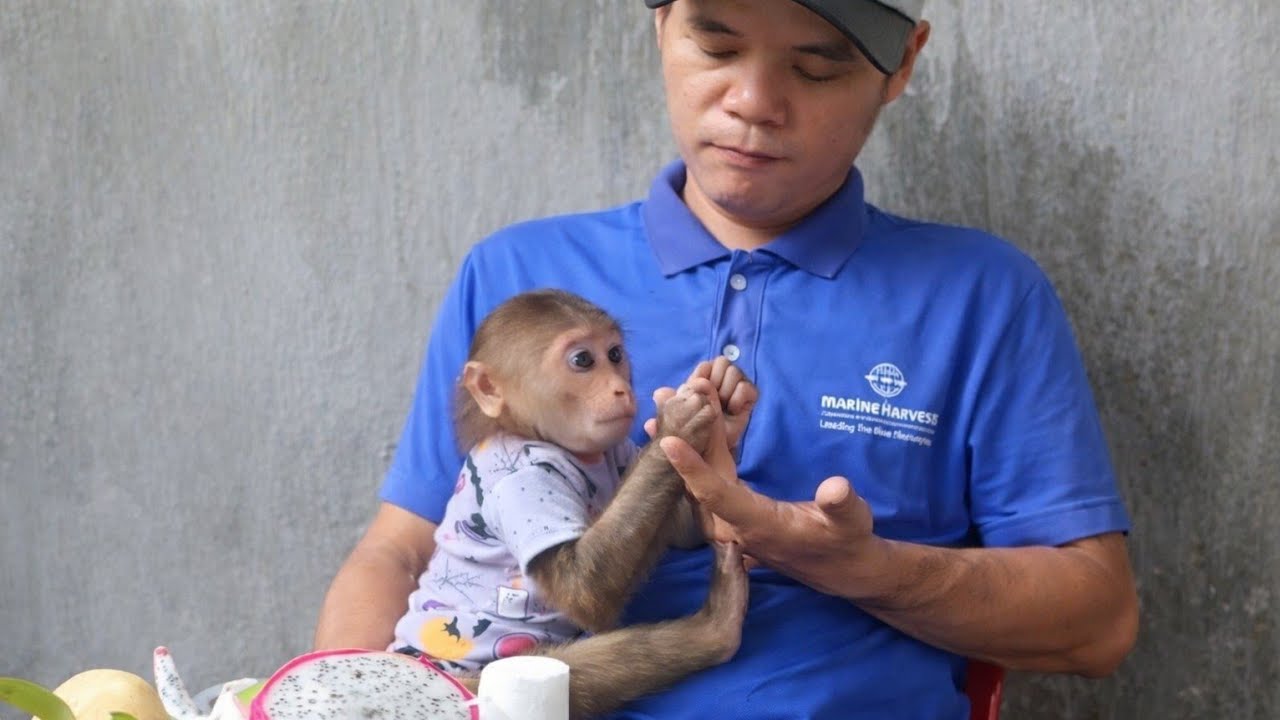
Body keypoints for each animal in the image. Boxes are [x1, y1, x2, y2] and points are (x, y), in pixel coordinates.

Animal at [391, 288, 756, 719]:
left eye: (614, 354)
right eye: (583, 361)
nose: (620, 389)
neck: (537, 436)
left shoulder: (618, 448)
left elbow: (680, 531)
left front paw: (727, 408)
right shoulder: (522, 482)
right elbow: (582, 585)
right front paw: (678, 422)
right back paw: (716, 628)